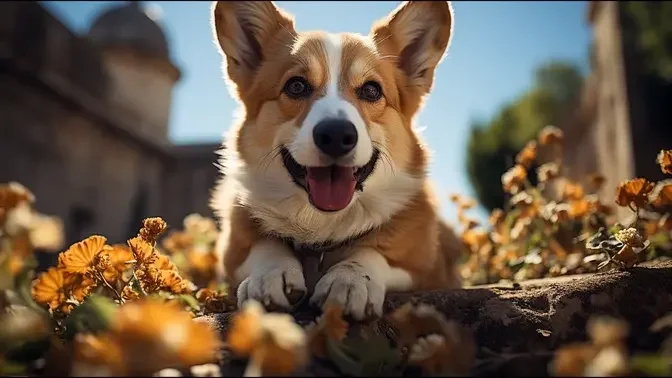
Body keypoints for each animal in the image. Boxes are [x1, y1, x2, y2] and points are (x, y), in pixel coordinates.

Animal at [209, 0, 462, 320]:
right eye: (296, 86)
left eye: (371, 90)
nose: (336, 135)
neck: (322, 226)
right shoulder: (231, 253)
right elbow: (264, 244)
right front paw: (269, 275)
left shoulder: (427, 269)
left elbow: (370, 252)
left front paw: (350, 280)